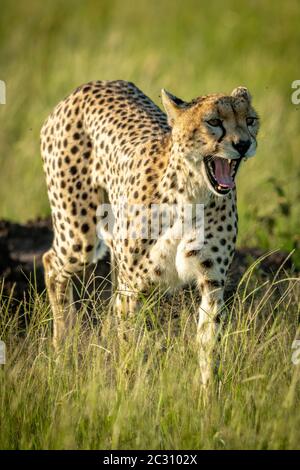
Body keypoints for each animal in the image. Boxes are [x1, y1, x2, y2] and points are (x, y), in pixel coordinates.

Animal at [41, 80, 258, 382]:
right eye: (214, 121)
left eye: (249, 120)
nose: (244, 144)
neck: (192, 193)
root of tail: (94, 84)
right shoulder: (134, 288)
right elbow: (130, 348)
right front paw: (128, 390)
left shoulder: (212, 281)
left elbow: (208, 343)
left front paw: (209, 393)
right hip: (80, 236)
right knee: (51, 262)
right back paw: (63, 345)